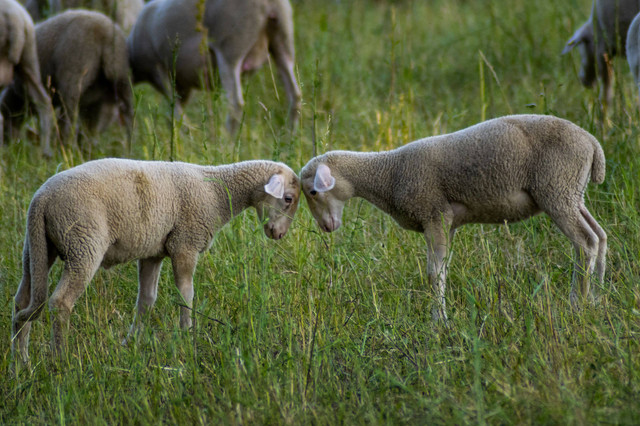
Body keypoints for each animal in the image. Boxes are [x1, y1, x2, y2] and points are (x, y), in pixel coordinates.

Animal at [0, 10, 133, 147]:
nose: (8, 144)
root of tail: (104, 33)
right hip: (121, 74)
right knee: (129, 113)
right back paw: (130, 145)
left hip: (73, 76)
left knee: (70, 119)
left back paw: (66, 145)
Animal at [11, 158, 301, 362]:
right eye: (287, 199)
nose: (279, 235)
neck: (216, 193)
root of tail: (41, 199)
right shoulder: (185, 243)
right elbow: (186, 293)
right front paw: (186, 335)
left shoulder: (153, 252)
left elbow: (146, 300)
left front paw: (131, 343)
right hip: (83, 243)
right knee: (60, 303)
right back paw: (61, 361)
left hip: (36, 247)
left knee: (22, 300)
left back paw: (20, 362)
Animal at [127, 0, 301, 134]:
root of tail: (269, 4)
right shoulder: (183, 86)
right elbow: (174, 114)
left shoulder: (159, 70)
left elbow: (176, 113)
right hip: (282, 39)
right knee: (295, 95)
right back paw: (289, 140)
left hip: (231, 47)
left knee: (235, 105)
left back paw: (226, 145)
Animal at [300, 115, 607, 322]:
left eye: (314, 191)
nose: (326, 227)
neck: (388, 174)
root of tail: (592, 143)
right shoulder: (446, 222)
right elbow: (442, 269)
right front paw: (440, 314)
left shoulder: (434, 213)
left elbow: (433, 273)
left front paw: (439, 321)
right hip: (571, 193)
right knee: (600, 236)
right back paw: (597, 296)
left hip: (556, 188)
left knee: (585, 242)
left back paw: (577, 304)